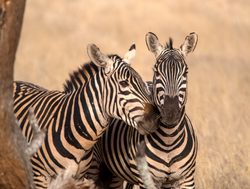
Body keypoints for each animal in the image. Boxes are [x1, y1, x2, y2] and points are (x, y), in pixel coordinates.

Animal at [86, 31, 199, 188]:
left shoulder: (187, 180)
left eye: (185, 73)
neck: (169, 140)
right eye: (156, 72)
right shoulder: (147, 180)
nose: (170, 113)